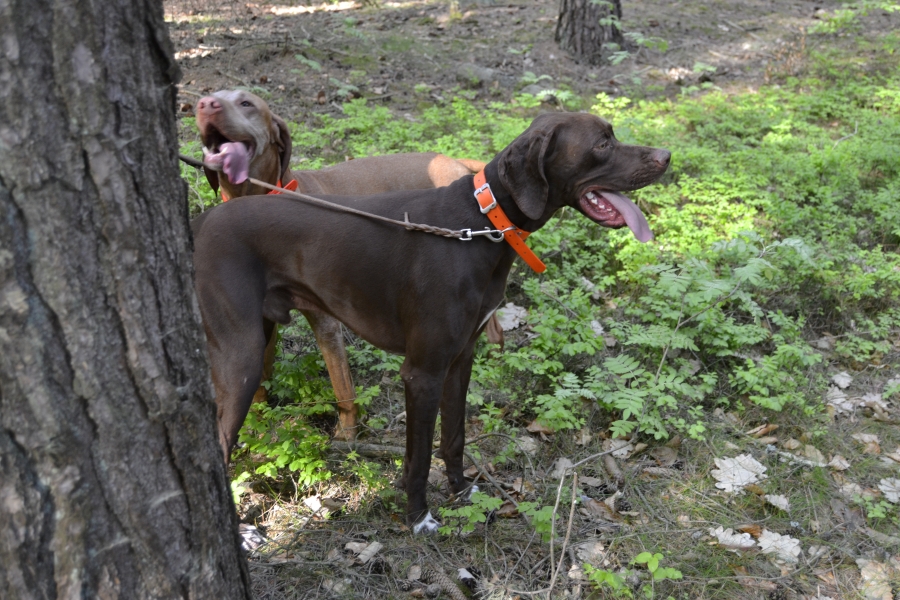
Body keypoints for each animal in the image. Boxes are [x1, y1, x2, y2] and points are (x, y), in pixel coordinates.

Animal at [194, 89, 495, 440]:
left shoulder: (327, 324)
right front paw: (257, 420)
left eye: (246, 103)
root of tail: (454, 161)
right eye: (212, 97)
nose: (205, 104)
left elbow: (343, 388)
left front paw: (347, 434)